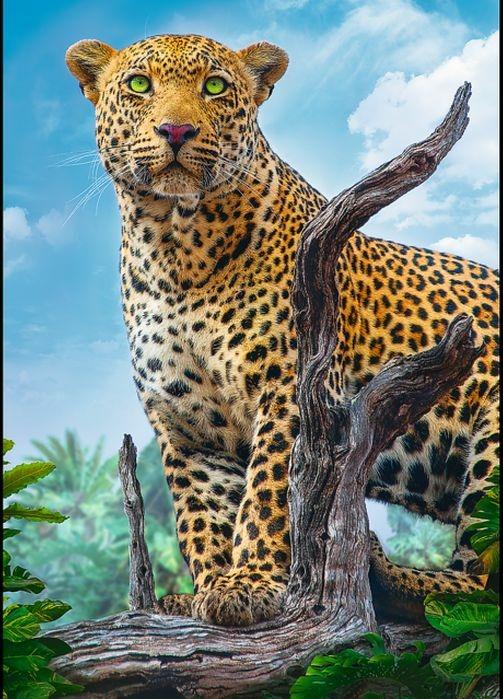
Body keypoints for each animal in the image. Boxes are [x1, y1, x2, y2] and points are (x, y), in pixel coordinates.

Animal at [66, 33, 499, 626]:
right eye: (138, 85)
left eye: (214, 86)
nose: (175, 131)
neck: (175, 246)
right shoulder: (185, 425)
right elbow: (201, 514)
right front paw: (207, 589)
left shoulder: (293, 389)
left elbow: (271, 492)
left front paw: (251, 581)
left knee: (482, 582)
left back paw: (386, 573)